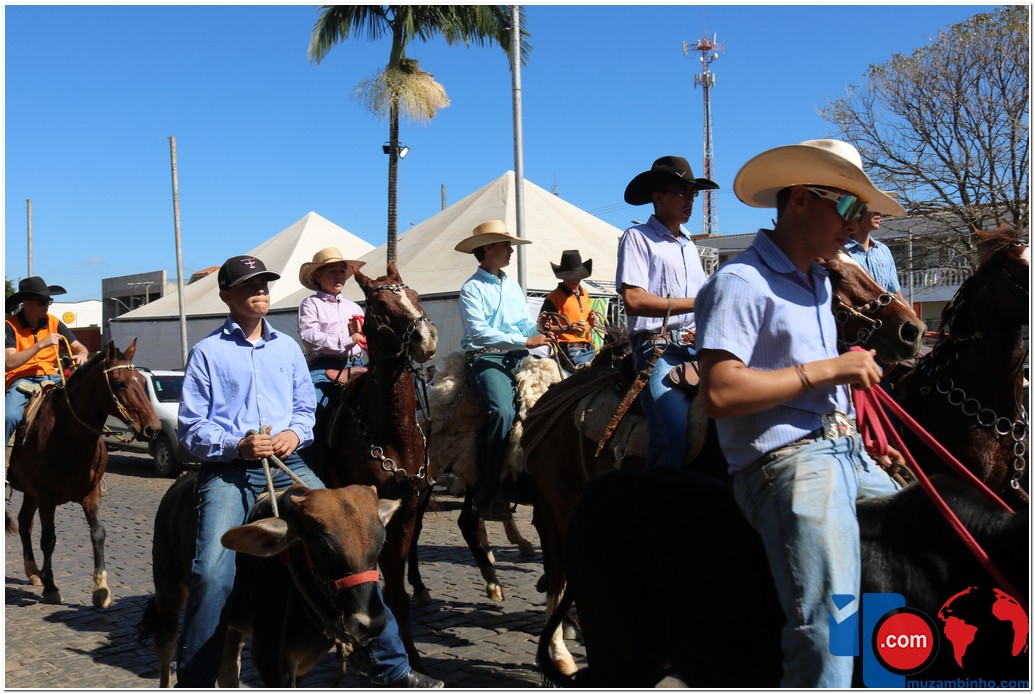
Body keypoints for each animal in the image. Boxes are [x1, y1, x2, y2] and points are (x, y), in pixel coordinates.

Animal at [6, 339, 160, 608]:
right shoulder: (47, 497)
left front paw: (101, 588)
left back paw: (34, 572)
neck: (67, 434)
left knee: (25, 522)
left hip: (30, 492)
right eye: (120, 383)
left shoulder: (91, 493)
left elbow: (98, 533)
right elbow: (49, 539)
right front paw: (51, 587)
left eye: (142, 381)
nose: (153, 428)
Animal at [139, 474, 400, 687]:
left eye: (381, 545)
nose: (371, 624)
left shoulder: (302, 664)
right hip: (168, 588)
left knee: (228, 666)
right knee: (166, 641)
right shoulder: (270, 660)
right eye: (323, 549)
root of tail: (180, 482)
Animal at [319, 261, 438, 666]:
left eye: (416, 296)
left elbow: (397, 587)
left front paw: (413, 653)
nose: (426, 338)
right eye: (380, 306)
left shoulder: (408, 509)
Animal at [521, 250, 928, 676]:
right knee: (561, 572)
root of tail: (547, 402)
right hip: (562, 506)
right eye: (833, 271)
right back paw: (561, 654)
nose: (911, 330)